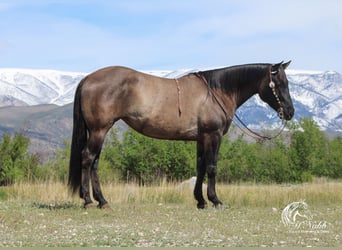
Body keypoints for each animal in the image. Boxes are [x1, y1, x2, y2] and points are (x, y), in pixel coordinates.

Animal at [69, 61, 294, 209]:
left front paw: (201, 201)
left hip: (99, 131)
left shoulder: (202, 139)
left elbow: (201, 167)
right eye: (278, 83)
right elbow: (212, 168)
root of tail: (87, 78)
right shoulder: (213, 136)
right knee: (88, 158)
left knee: (94, 163)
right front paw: (215, 200)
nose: (290, 112)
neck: (216, 91)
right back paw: (88, 200)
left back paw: (102, 201)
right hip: (99, 130)